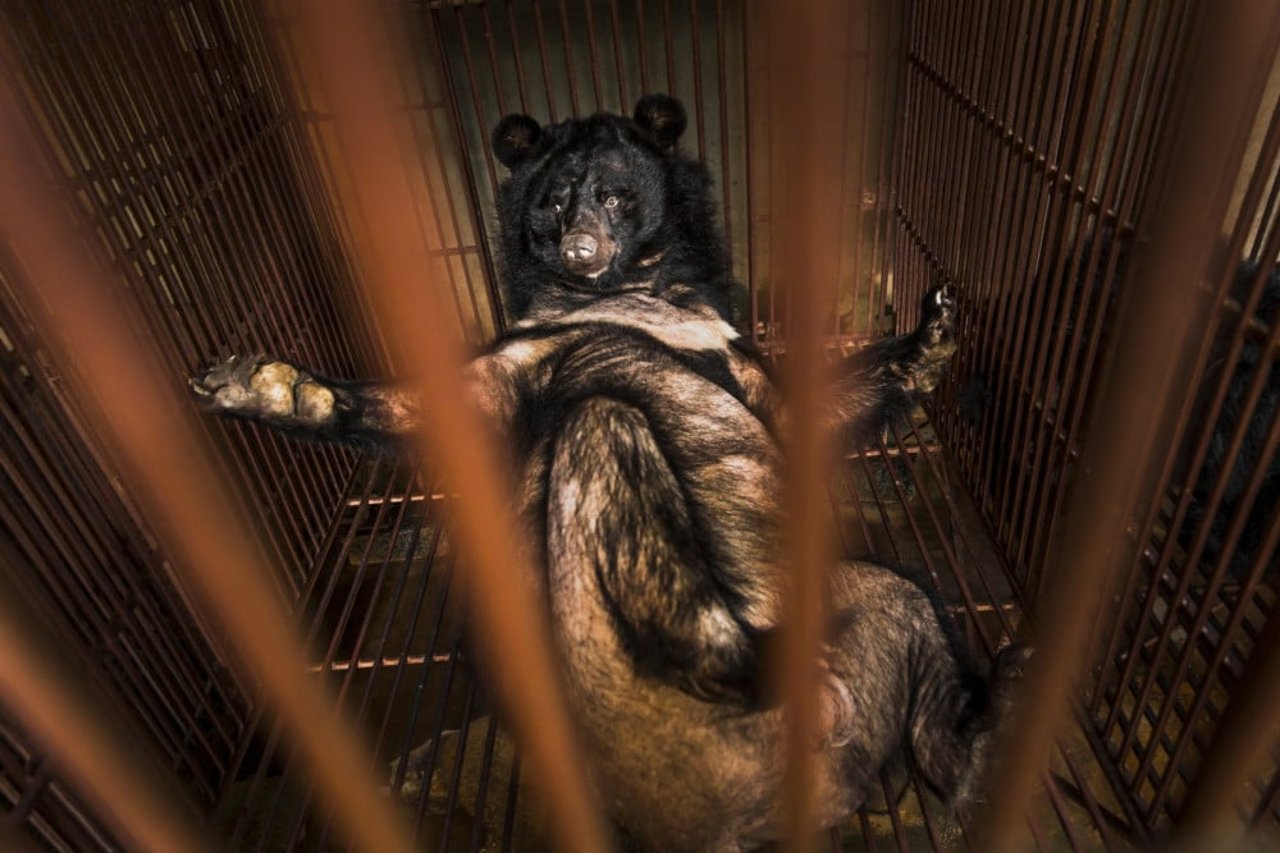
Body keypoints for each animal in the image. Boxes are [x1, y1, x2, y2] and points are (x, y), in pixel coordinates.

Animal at [186, 96, 1018, 845]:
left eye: (618, 195)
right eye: (554, 199)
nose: (581, 249)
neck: (626, 297)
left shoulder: (732, 346)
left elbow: (802, 416)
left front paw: (938, 327)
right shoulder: (532, 349)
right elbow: (458, 400)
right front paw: (262, 387)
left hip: (865, 604)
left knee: (916, 626)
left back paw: (991, 728)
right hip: (604, 661)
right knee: (606, 431)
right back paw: (741, 664)